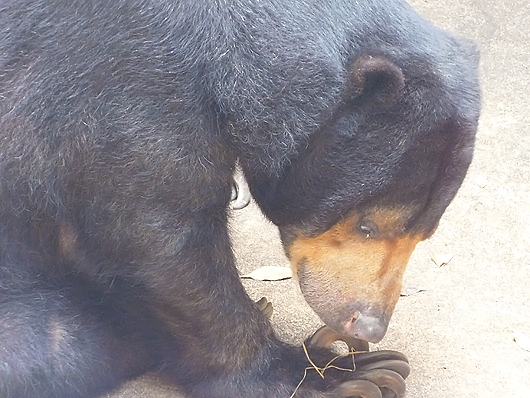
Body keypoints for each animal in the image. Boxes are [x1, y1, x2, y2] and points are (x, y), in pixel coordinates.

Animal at [0, 0, 476, 398]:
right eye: (367, 225)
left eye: (423, 237)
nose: (370, 325)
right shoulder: (119, 90)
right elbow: (151, 238)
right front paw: (333, 377)